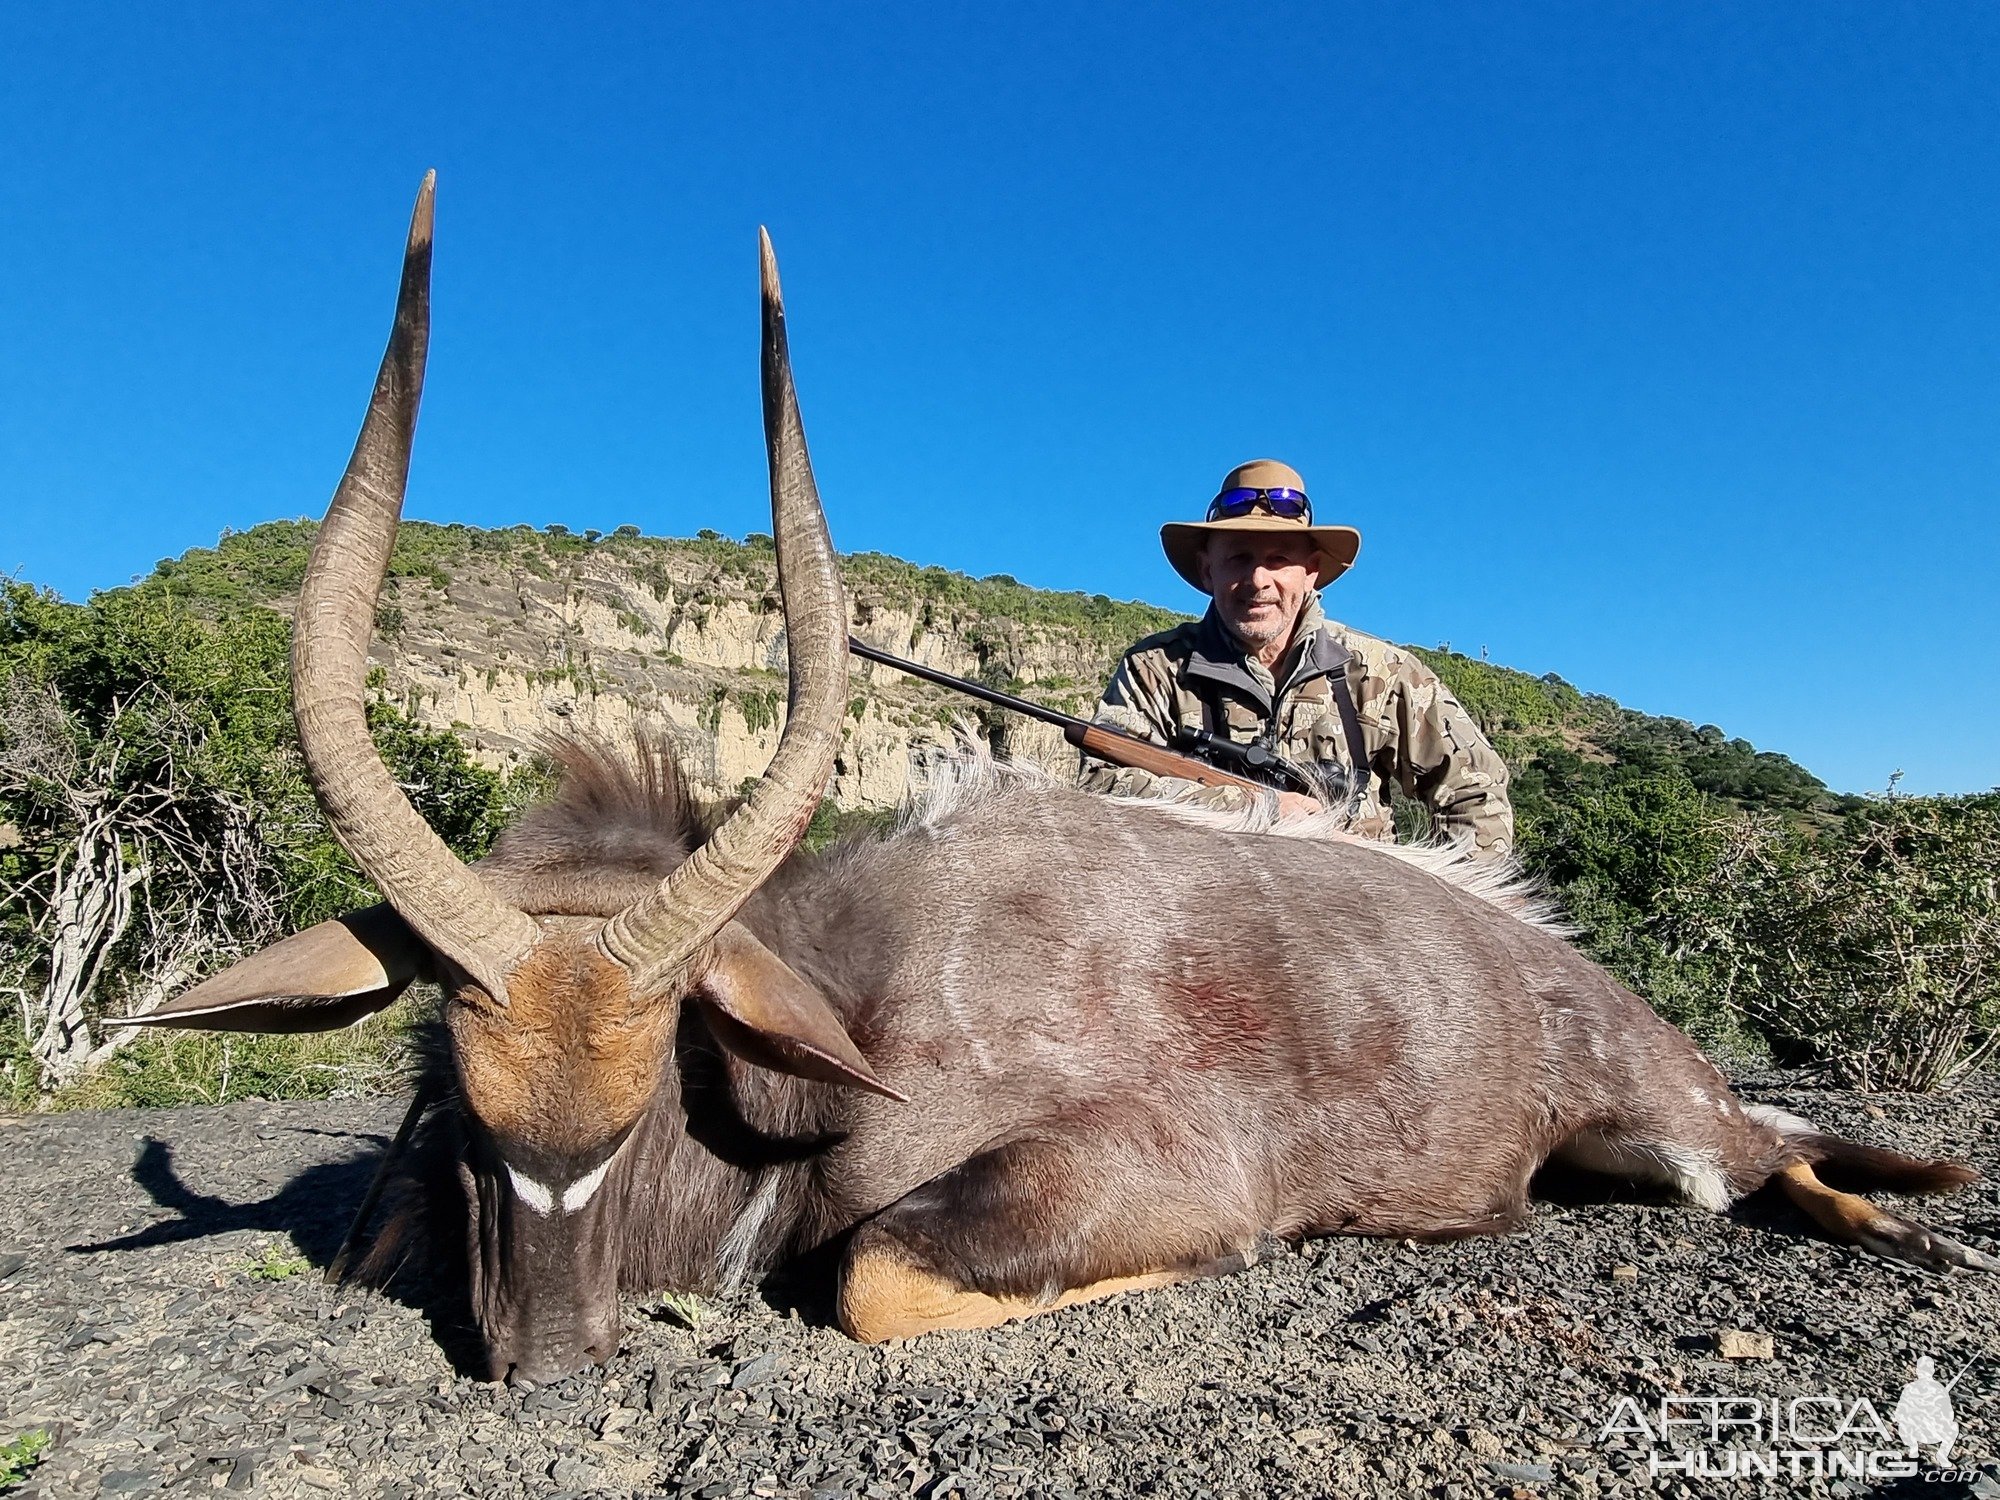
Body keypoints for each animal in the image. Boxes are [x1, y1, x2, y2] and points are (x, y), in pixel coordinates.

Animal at [133, 176, 1992, 1384]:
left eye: (656, 1073)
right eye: (451, 1082)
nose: (544, 1354)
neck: (857, 997)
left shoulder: (1114, 1171)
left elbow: (872, 1277)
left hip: (1664, 1128)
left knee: (1771, 1162)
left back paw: (1916, 1227)